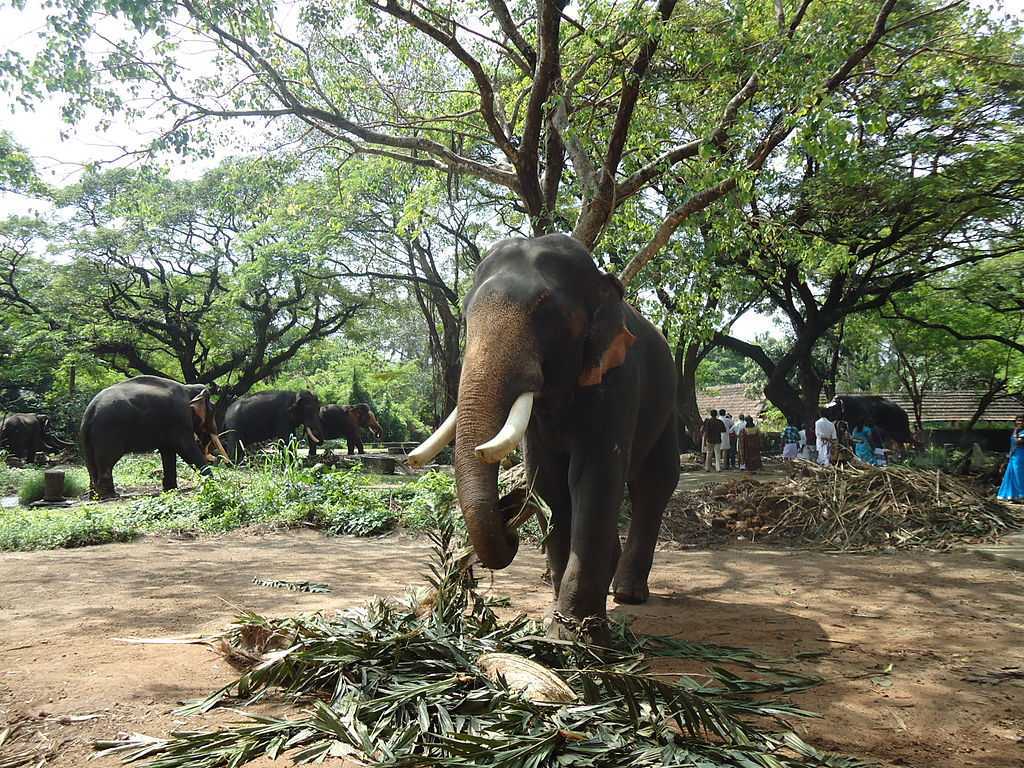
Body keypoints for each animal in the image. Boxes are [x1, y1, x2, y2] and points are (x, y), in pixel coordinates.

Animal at [79, 376, 228, 499]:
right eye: (212, 410)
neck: (188, 388)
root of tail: (91, 410)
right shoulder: (180, 418)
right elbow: (185, 448)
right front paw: (213, 482)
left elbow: (168, 451)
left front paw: (170, 489)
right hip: (108, 431)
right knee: (107, 461)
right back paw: (110, 495)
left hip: (88, 436)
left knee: (91, 464)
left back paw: (95, 496)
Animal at [407, 234, 679, 643]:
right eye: (466, 316)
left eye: (544, 309)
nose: (507, 514)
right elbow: (548, 482)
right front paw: (559, 622)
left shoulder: (618, 380)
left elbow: (593, 477)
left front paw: (577, 636)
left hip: (670, 405)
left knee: (655, 484)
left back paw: (629, 595)